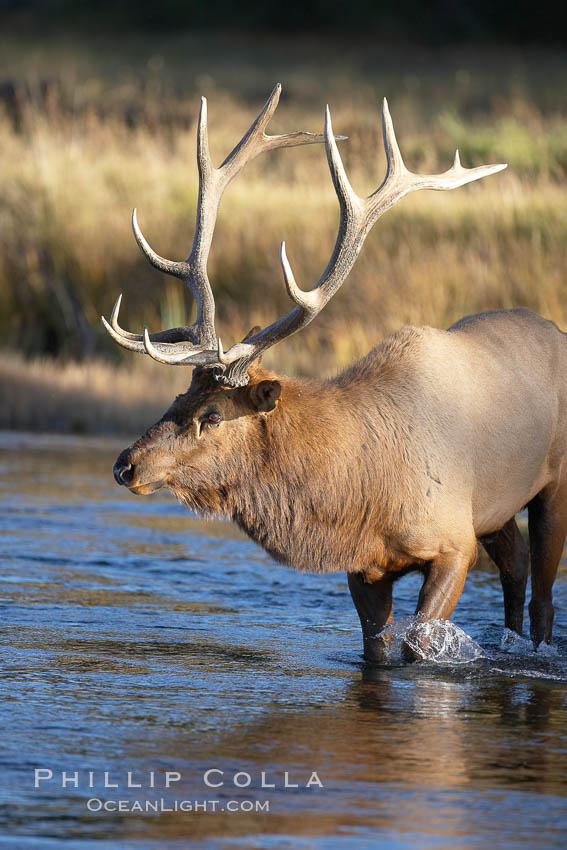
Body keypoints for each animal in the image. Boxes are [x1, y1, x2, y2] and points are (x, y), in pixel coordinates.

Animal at [104, 84, 564, 656]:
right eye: (176, 398)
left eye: (211, 415)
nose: (125, 465)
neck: (360, 488)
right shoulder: (365, 567)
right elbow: (376, 650)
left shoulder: (453, 543)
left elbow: (418, 644)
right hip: (496, 509)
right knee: (516, 564)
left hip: (553, 483)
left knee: (544, 592)